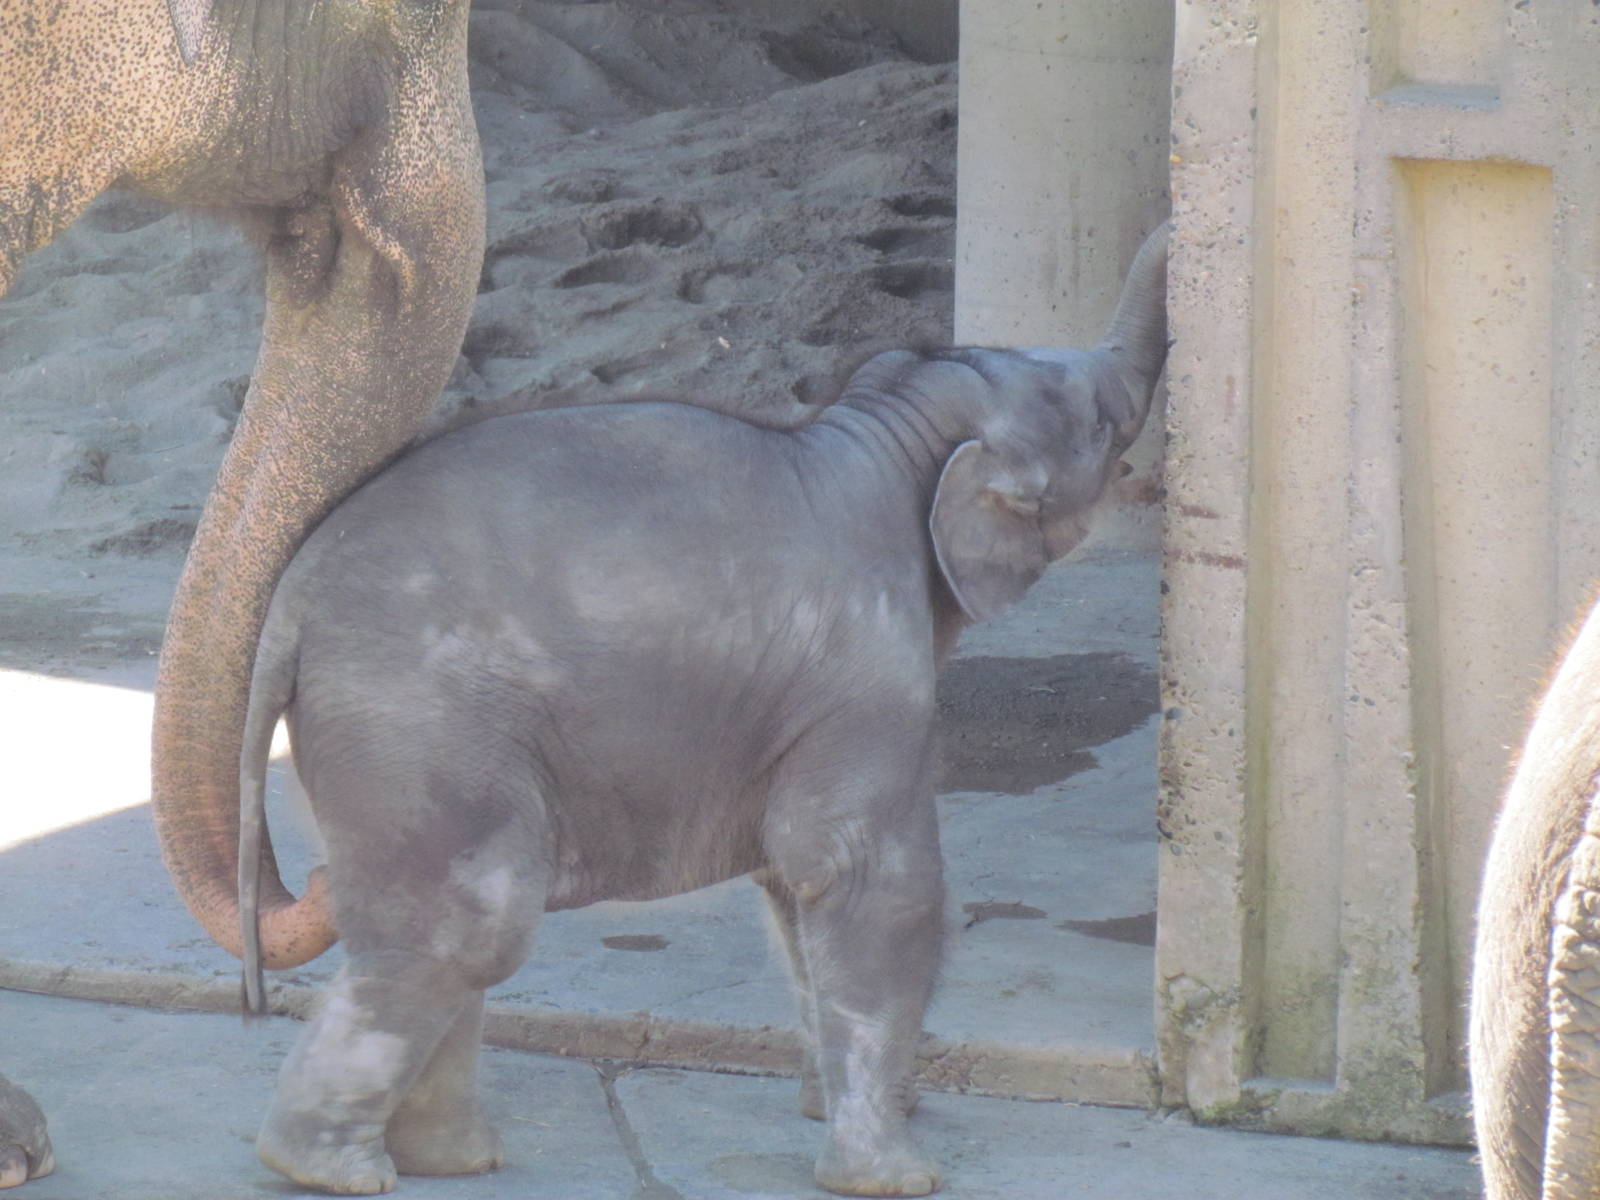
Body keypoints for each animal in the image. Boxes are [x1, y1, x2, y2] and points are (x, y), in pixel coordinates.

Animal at [227, 222, 1169, 1196]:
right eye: (1101, 423)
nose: (1173, 227)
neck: (884, 434)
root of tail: (288, 607)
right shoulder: (866, 674)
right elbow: (867, 875)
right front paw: (898, 1177)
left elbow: (792, 884)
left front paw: (834, 1110)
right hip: (417, 727)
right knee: (470, 926)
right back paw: (328, 1168)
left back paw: (448, 1160)